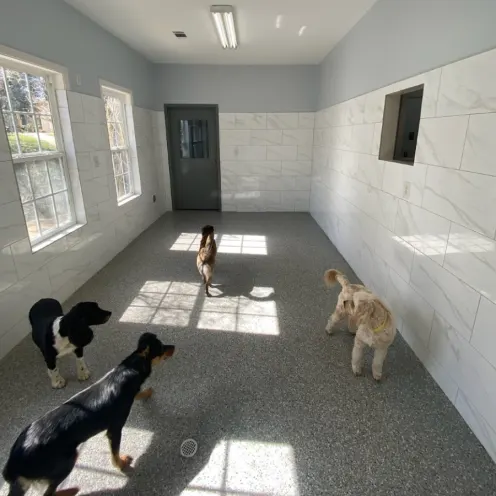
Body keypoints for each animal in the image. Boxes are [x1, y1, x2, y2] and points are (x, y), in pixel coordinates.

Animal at [2, 334, 174, 496]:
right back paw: (70, 491)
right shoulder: (115, 429)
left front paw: (147, 392)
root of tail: (13, 465)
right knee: (49, 492)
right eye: (162, 348)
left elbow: (139, 393)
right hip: (66, 461)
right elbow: (115, 452)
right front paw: (120, 464)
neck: (129, 369)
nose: (174, 347)